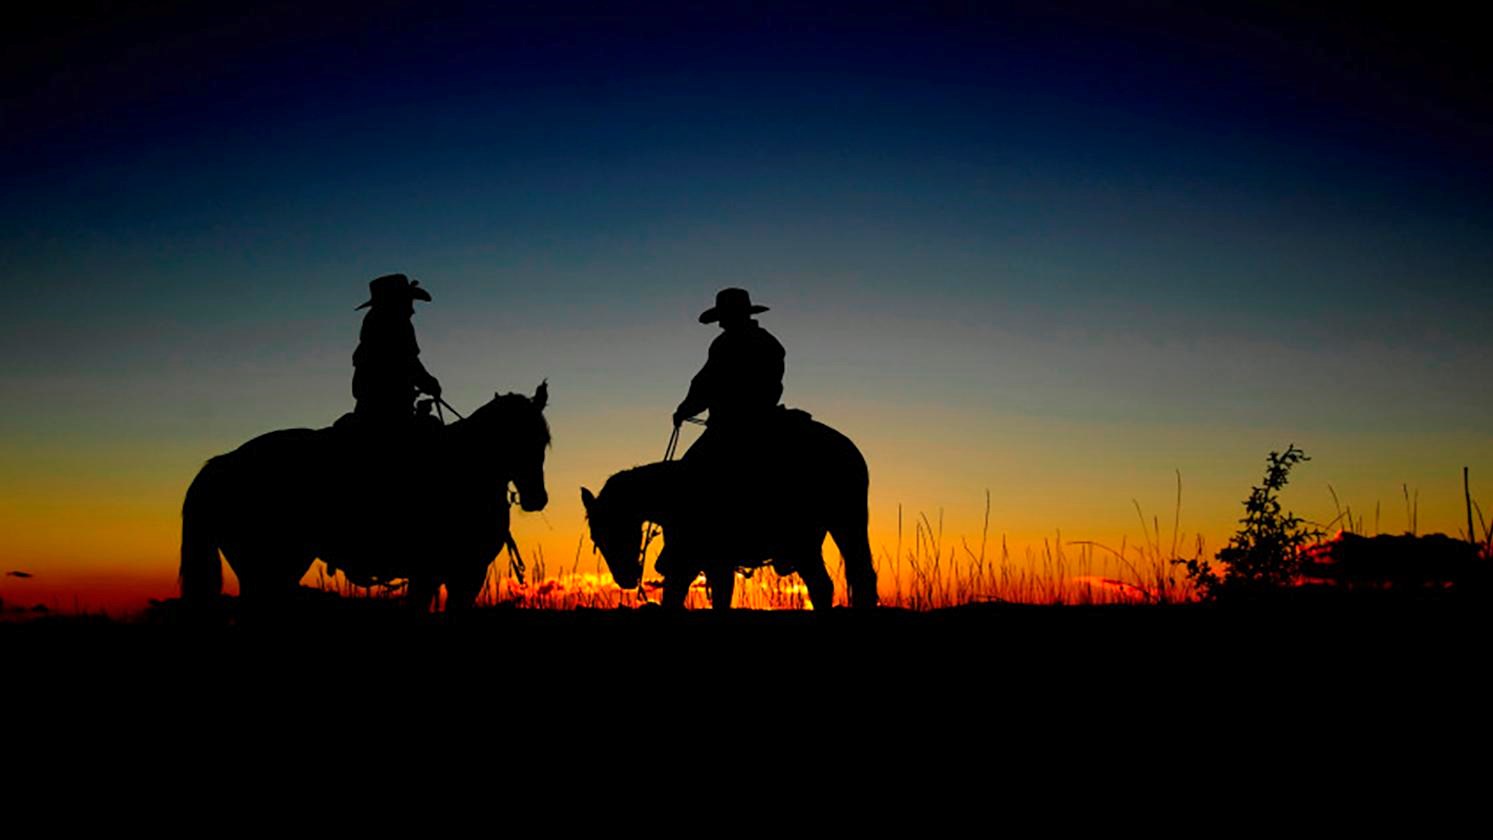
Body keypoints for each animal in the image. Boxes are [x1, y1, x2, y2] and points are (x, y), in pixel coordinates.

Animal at [175, 381, 549, 611]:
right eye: (511, 438)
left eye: (542, 440)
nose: (536, 498)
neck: (468, 468)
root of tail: (222, 463)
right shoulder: (455, 573)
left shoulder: (445, 574)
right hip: (265, 565)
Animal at [573, 411, 871, 611]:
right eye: (596, 538)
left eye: (617, 529)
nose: (625, 578)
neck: (675, 492)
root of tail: (850, 450)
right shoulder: (708, 563)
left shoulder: (696, 560)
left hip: (821, 535)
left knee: (827, 584)